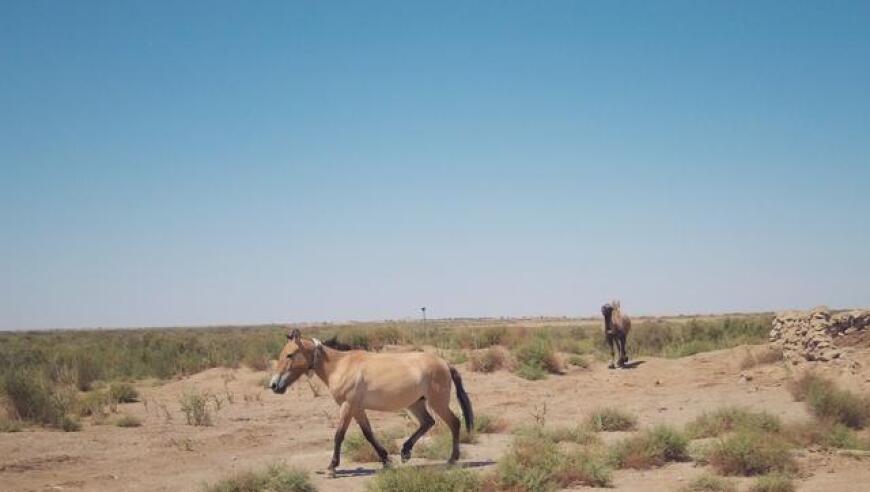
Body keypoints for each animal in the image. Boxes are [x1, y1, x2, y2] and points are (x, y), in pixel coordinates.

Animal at [272, 328, 476, 474]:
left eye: (289, 355)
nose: (274, 385)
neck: (340, 366)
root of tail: (445, 364)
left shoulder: (348, 406)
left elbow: (339, 435)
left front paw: (332, 467)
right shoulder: (357, 409)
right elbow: (368, 434)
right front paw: (386, 460)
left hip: (437, 403)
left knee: (454, 423)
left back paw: (452, 459)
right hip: (416, 403)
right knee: (428, 422)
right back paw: (405, 452)